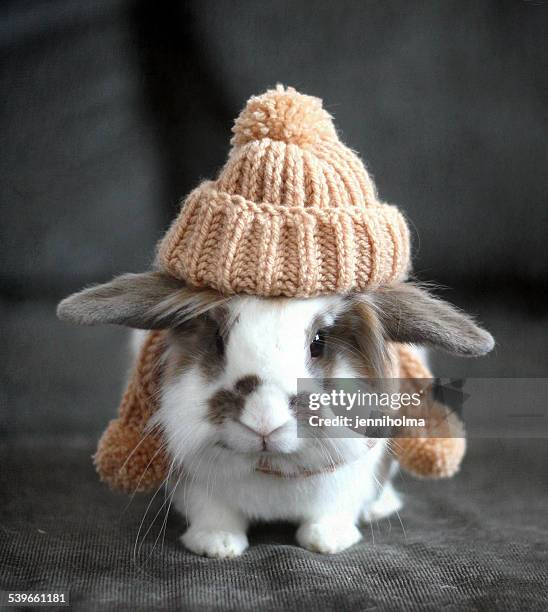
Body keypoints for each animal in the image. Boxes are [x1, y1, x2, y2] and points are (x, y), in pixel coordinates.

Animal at [56, 272, 492, 560]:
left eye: (318, 343)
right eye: (218, 340)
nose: (263, 421)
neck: (273, 466)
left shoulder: (349, 479)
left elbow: (333, 510)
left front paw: (328, 541)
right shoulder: (195, 482)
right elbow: (213, 513)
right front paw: (217, 546)